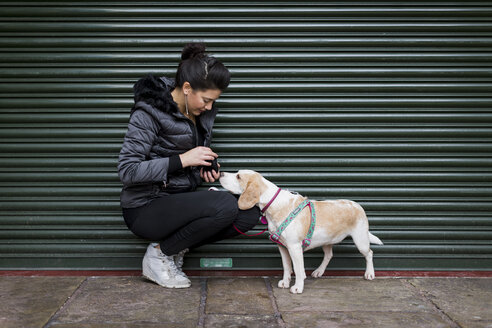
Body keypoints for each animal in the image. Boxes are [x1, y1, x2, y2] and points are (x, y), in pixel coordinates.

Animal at [219, 170, 384, 294]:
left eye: (238, 176)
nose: (220, 173)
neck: (275, 204)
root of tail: (357, 205)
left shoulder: (294, 247)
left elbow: (298, 270)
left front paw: (298, 287)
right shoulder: (282, 247)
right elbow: (287, 267)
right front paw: (286, 282)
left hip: (361, 240)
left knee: (369, 253)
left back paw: (370, 273)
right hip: (327, 241)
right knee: (329, 255)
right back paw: (319, 271)